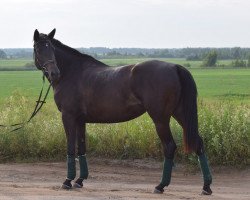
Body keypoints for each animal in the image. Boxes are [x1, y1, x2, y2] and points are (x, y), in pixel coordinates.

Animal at [33, 28, 212, 195]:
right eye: (38, 49)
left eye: (51, 48)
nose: (54, 73)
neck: (72, 73)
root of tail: (175, 67)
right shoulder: (80, 120)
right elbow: (81, 148)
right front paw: (79, 180)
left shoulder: (68, 116)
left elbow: (70, 147)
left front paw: (67, 181)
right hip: (180, 114)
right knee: (198, 143)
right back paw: (206, 186)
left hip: (160, 119)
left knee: (169, 147)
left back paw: (160, 186)